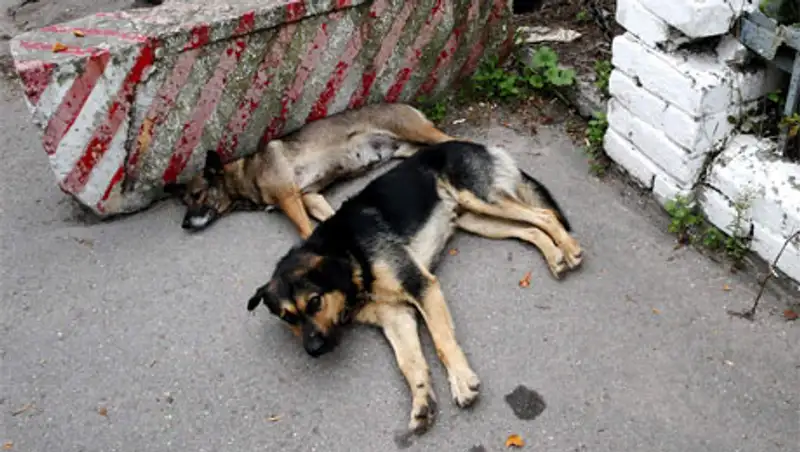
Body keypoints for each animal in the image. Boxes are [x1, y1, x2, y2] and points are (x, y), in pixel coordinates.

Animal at [164, 102, 456, 237]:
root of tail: (404, 104)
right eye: (185, 201)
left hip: (416, 131)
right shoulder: (309, 197)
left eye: (198, 195)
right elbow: (328, 217)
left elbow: (305, 229)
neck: (247, 174)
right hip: (407, 148)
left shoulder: (289, 198)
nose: (184, 224)